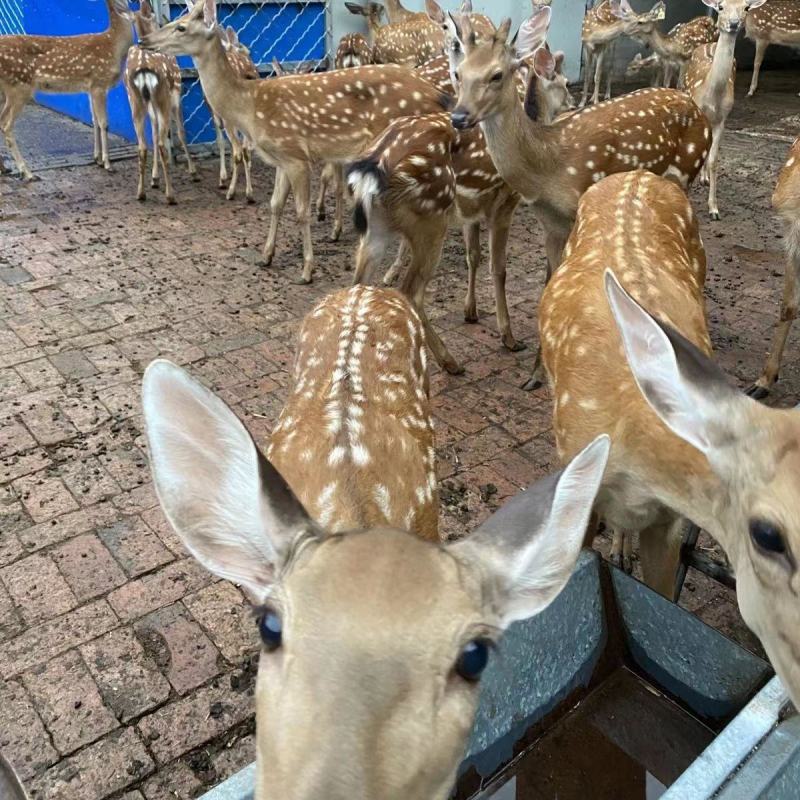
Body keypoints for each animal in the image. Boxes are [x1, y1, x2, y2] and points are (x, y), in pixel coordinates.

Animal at [0, 0, 134, 180]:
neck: (114, 45)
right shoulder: (99, 83)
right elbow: (104, 123)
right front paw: (107, 164)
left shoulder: (90, 88)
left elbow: (95, 121)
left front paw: (97, 159)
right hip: (19, 86)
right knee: (6, 124)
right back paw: (27, 172)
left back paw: (5, 169)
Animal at [124, 0, 198, 204]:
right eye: (153, 16)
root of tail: (143, 69)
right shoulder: (176, 95)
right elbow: (180, 132)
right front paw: (193, 171)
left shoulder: (151, 104)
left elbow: (155, 133)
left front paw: (155, 178)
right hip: (163, 96)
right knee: (163, 144)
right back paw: (170, 194)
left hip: (136, 100)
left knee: (143, 145)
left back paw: (141, 193)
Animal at [142, 0, 454, 285]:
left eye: (181, 26)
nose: (145, 40)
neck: (249, 107)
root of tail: (437, 95)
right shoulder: (280, 159)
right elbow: (275, 204)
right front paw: (266, 256)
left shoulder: (296, 156)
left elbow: (301, 212)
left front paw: (306, 270)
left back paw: (392, 273)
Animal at [451, 6, 711, 390]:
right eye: (458, 73)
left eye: (496, 74)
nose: (458, 116)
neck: (549, 167)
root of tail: (697, 108)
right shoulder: (550, 221)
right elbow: (547, 284)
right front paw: (535, 374)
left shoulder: (577, 211)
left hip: (686, 172)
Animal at [685, 0, 766, 221]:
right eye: (721, 6)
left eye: (746, 7)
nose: (734, 23)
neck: (712, 95)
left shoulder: (722, 120)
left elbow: (714, 159)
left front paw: (714, 209)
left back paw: (705, 179)